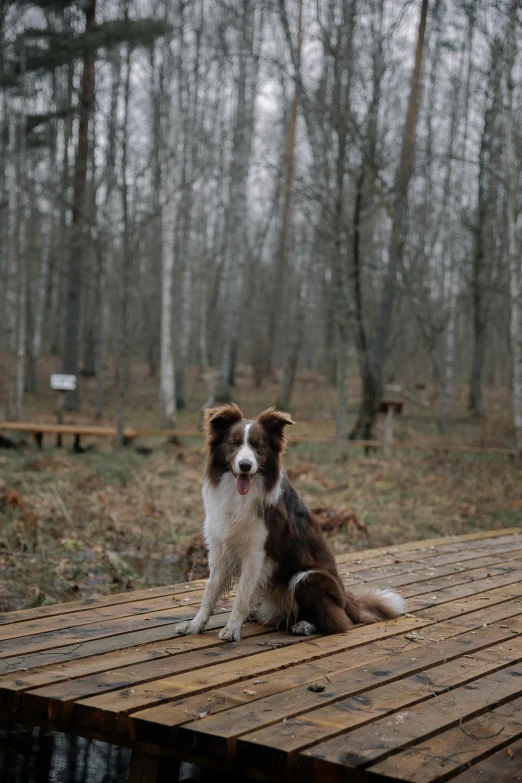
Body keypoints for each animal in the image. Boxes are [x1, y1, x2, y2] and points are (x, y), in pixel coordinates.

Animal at [175, 408, 402, 640]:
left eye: (258, 445)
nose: (245, 465)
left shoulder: (256, 553)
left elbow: (242, 595)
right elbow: (209, 592)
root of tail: (346, 600)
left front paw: (232, 629)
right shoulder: (220, 547)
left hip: (308, 577)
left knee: (336, 622)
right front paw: (195, 625)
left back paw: (305, 625)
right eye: (233, 443)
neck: (240, 495)